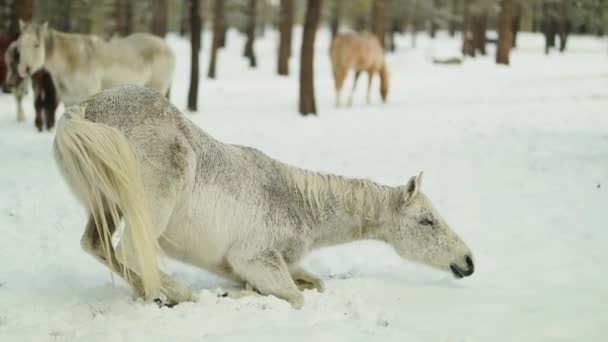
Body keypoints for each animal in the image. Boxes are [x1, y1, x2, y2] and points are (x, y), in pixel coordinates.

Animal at [14, 20, 176, 106]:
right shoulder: (68, 100)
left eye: (36, 45)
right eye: (19, 44)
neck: (72, 60)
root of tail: (168, 48)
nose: (23, 69)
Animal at [53, 85, 476, 308]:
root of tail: (82, 111)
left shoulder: (239, 262)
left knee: (98, 245)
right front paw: (232, 296)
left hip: (106, 203)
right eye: (426, 220)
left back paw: (151, 292)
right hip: (150, 203)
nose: (468, 262)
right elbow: (294, 297)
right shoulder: (255, 258)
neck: (299, 204)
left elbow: (312, 283)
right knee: (128, 250)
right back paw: (179, 294)